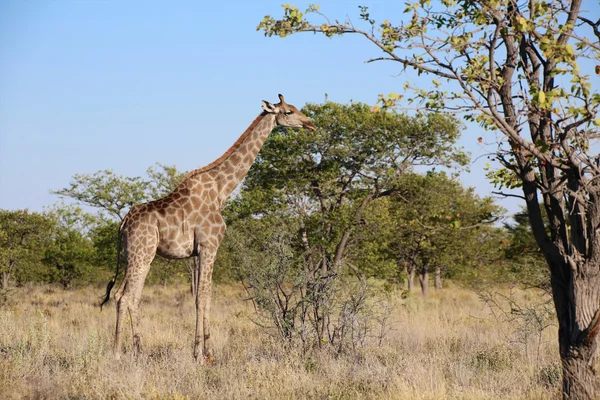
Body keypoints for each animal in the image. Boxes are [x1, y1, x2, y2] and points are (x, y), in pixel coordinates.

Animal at [102, 95, 318, 360]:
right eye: (288, 112)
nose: (310, 125)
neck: (220, 190)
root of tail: (123, 223)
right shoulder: (209, 246)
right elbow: (203, 298)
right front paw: (203, 354)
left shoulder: (199, 251)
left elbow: (204, 297)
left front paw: (204, 351)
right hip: (141, 253)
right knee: (125, 297)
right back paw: (118, 353)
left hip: (137, 255)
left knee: (127, 296)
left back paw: (138, 350)